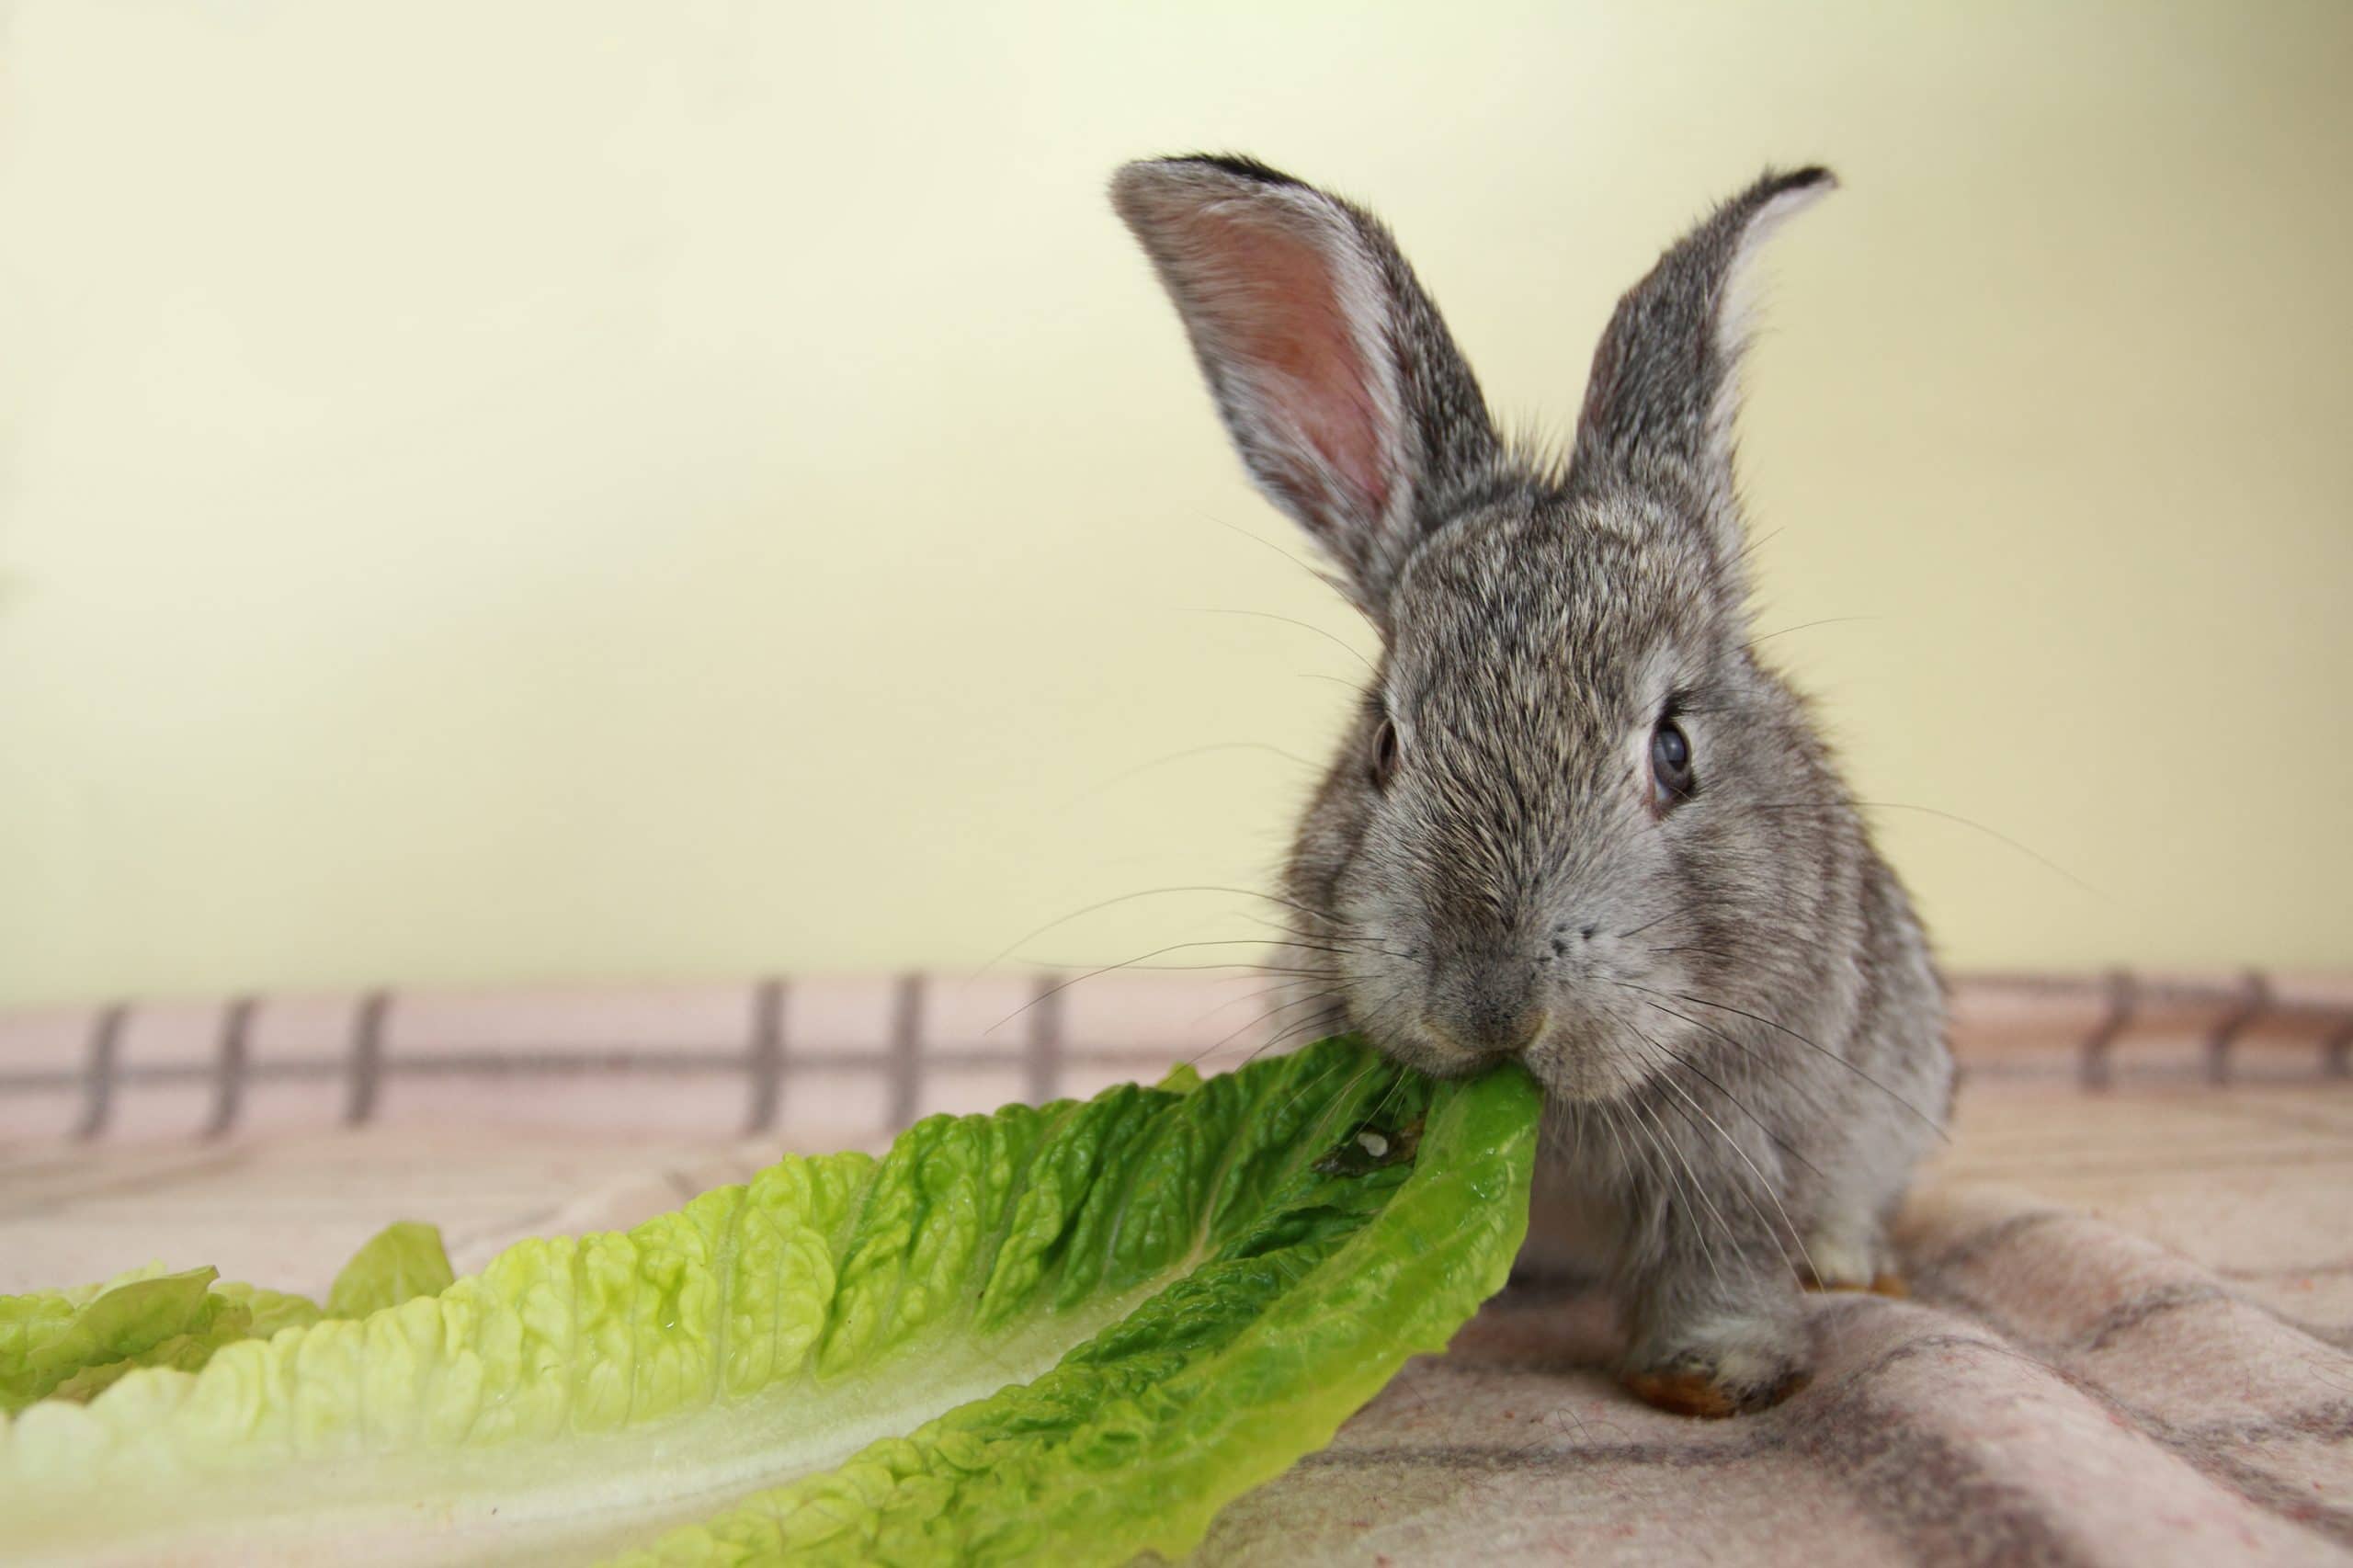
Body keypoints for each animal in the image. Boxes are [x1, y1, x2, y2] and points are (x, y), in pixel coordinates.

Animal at [1110, 153, 1957, 1412]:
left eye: (1672, 749)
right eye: (1384, 743)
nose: (1489, 1000)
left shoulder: (1748, 1125)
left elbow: (1721, 1248)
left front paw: (1713, 1376)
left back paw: (1853, 1262)